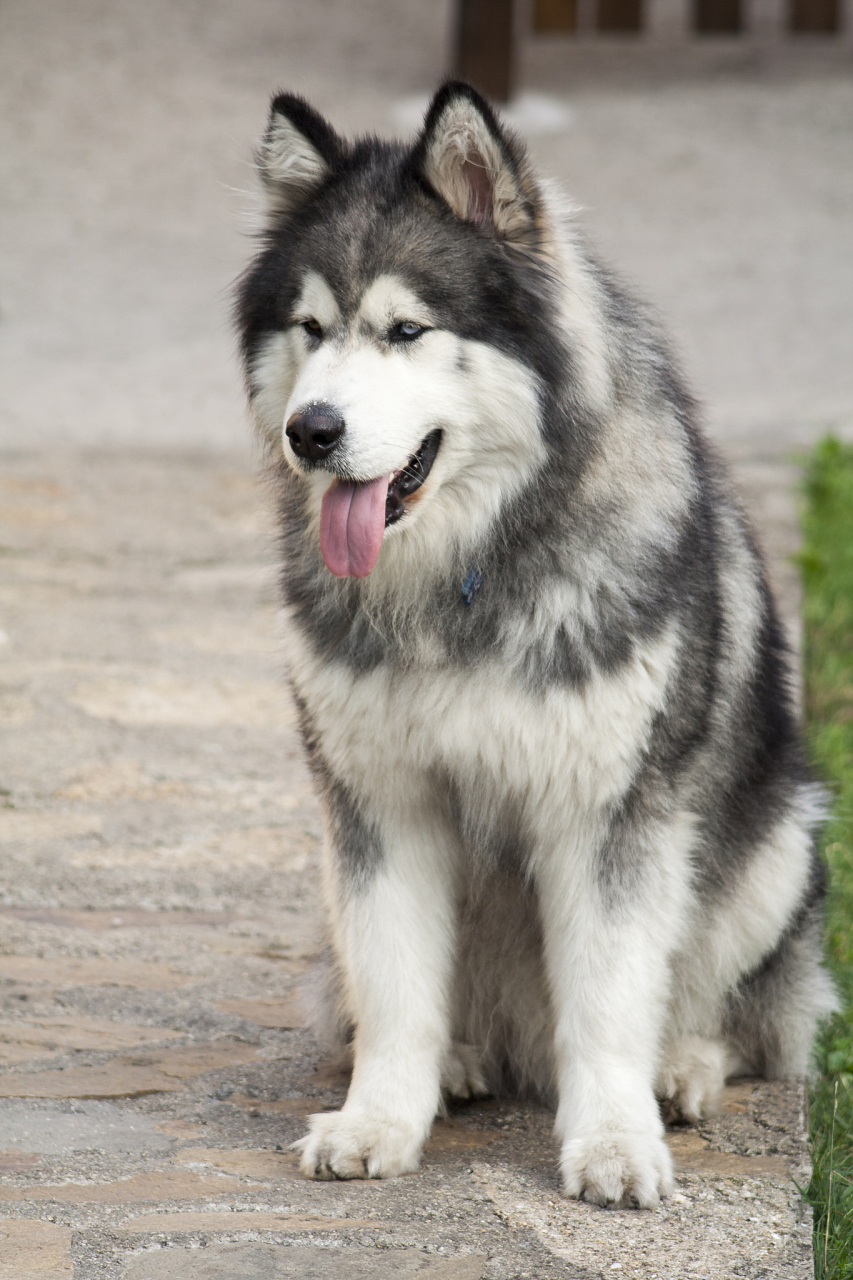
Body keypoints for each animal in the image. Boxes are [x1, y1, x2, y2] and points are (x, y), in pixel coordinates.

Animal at [235, 82, 835, 1208]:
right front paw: (382, 1118)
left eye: (406, 330)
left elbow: (607, 1000)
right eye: (310, 327)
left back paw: (680, 1064)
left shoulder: (608, 814)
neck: (468, 570)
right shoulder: (380, 806)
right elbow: (395, 992)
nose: (311, 431)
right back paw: (464, 1058)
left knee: (739, 1015)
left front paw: (614, 1139)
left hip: (778, 846)